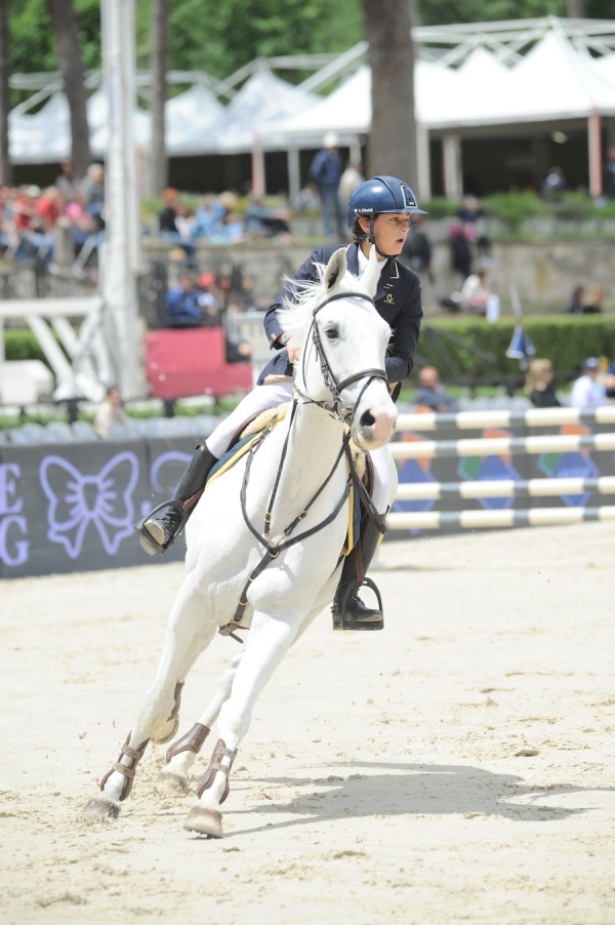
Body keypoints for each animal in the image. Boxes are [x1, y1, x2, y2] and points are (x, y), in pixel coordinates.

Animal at [86, 247, 400, 836]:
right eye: (331, 329)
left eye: (388, 337)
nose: (381, 420)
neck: (283, 499)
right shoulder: (192, 599)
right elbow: (155, 694)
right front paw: (112, 787)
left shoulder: (281, 616)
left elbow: (239, 705)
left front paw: (210, 799)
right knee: (184, 672)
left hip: (301, 614)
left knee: (231, 678)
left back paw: (182, 760)